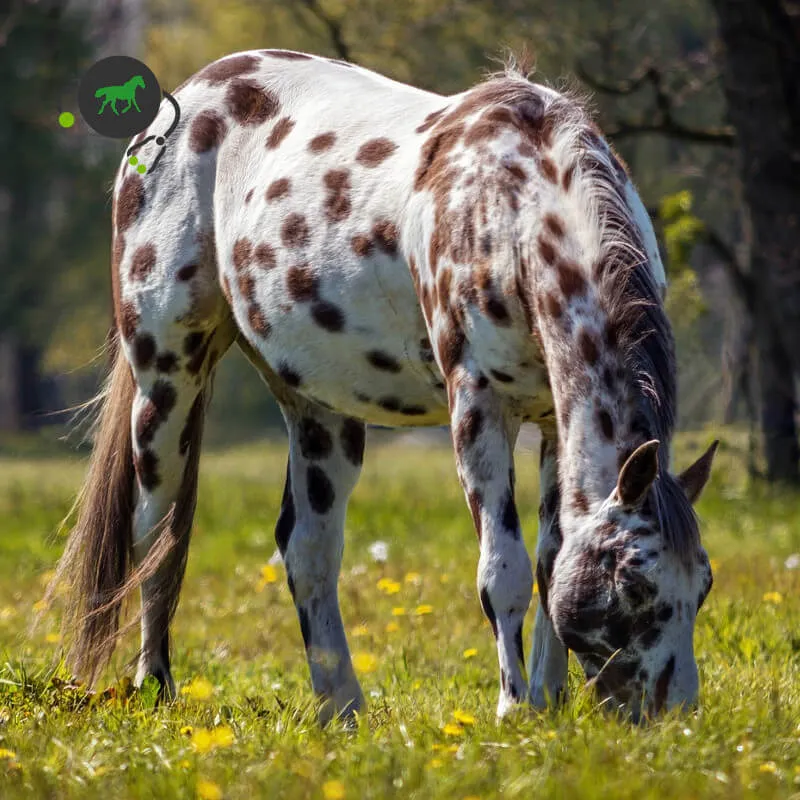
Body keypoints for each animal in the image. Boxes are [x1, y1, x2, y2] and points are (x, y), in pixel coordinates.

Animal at [47, 49, 718, 725]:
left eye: (704, 584)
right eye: (633, 583)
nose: (675, 716)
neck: (512, 206)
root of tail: (179, 103)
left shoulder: (555, 420)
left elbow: (553, 561)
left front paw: (548, 704)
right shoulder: (478, 407)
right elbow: (503, 570)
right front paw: (513, 709)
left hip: (318, 409)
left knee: (308, 551)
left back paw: (340, 707)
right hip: (166, 382)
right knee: (155, 537)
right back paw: (153, 685)